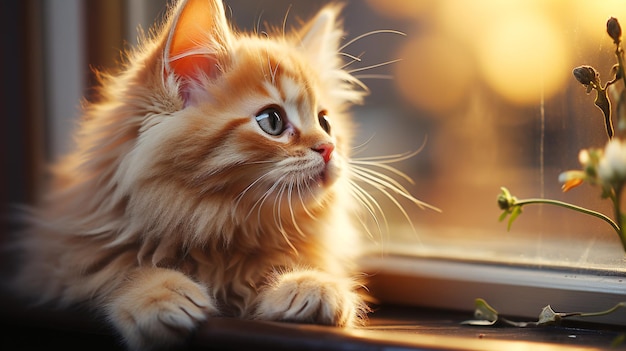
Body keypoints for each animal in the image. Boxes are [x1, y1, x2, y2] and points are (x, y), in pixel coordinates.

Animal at [12, 0, 432, 351]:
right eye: (272, 121)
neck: (217, 227)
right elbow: (112, 272)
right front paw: (158, 293)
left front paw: (309, 284)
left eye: (325, 122)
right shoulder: (56, 260)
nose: (328, 148)